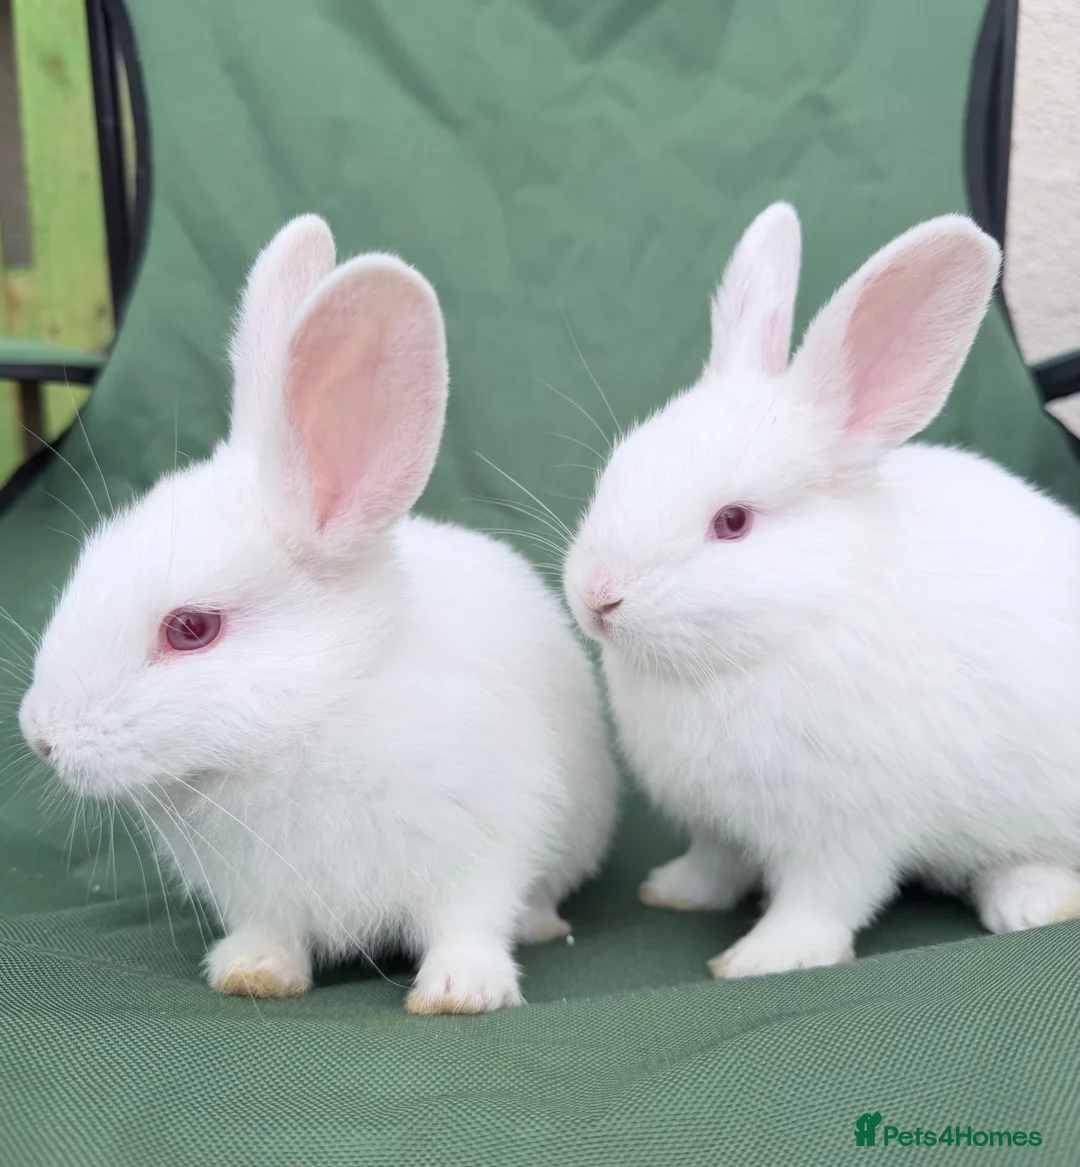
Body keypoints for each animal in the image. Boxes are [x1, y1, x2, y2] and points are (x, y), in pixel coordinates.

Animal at [19, 214, 617, 1013]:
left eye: (190, 629)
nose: (40, 735)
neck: (314, 718)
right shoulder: (258, 892)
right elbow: (271, 932)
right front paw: (252, 973)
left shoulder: (487, 838)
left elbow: (470, 919)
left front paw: (461, 990)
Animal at [563, 201, 1080, 980]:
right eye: (619, 468)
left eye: (733, 521)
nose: (596, 597)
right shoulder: (718, 822)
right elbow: (716, 864)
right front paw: (674, 892)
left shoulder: (845, 827)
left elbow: (821, 898)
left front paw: (761, 958)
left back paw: (1031, 900)